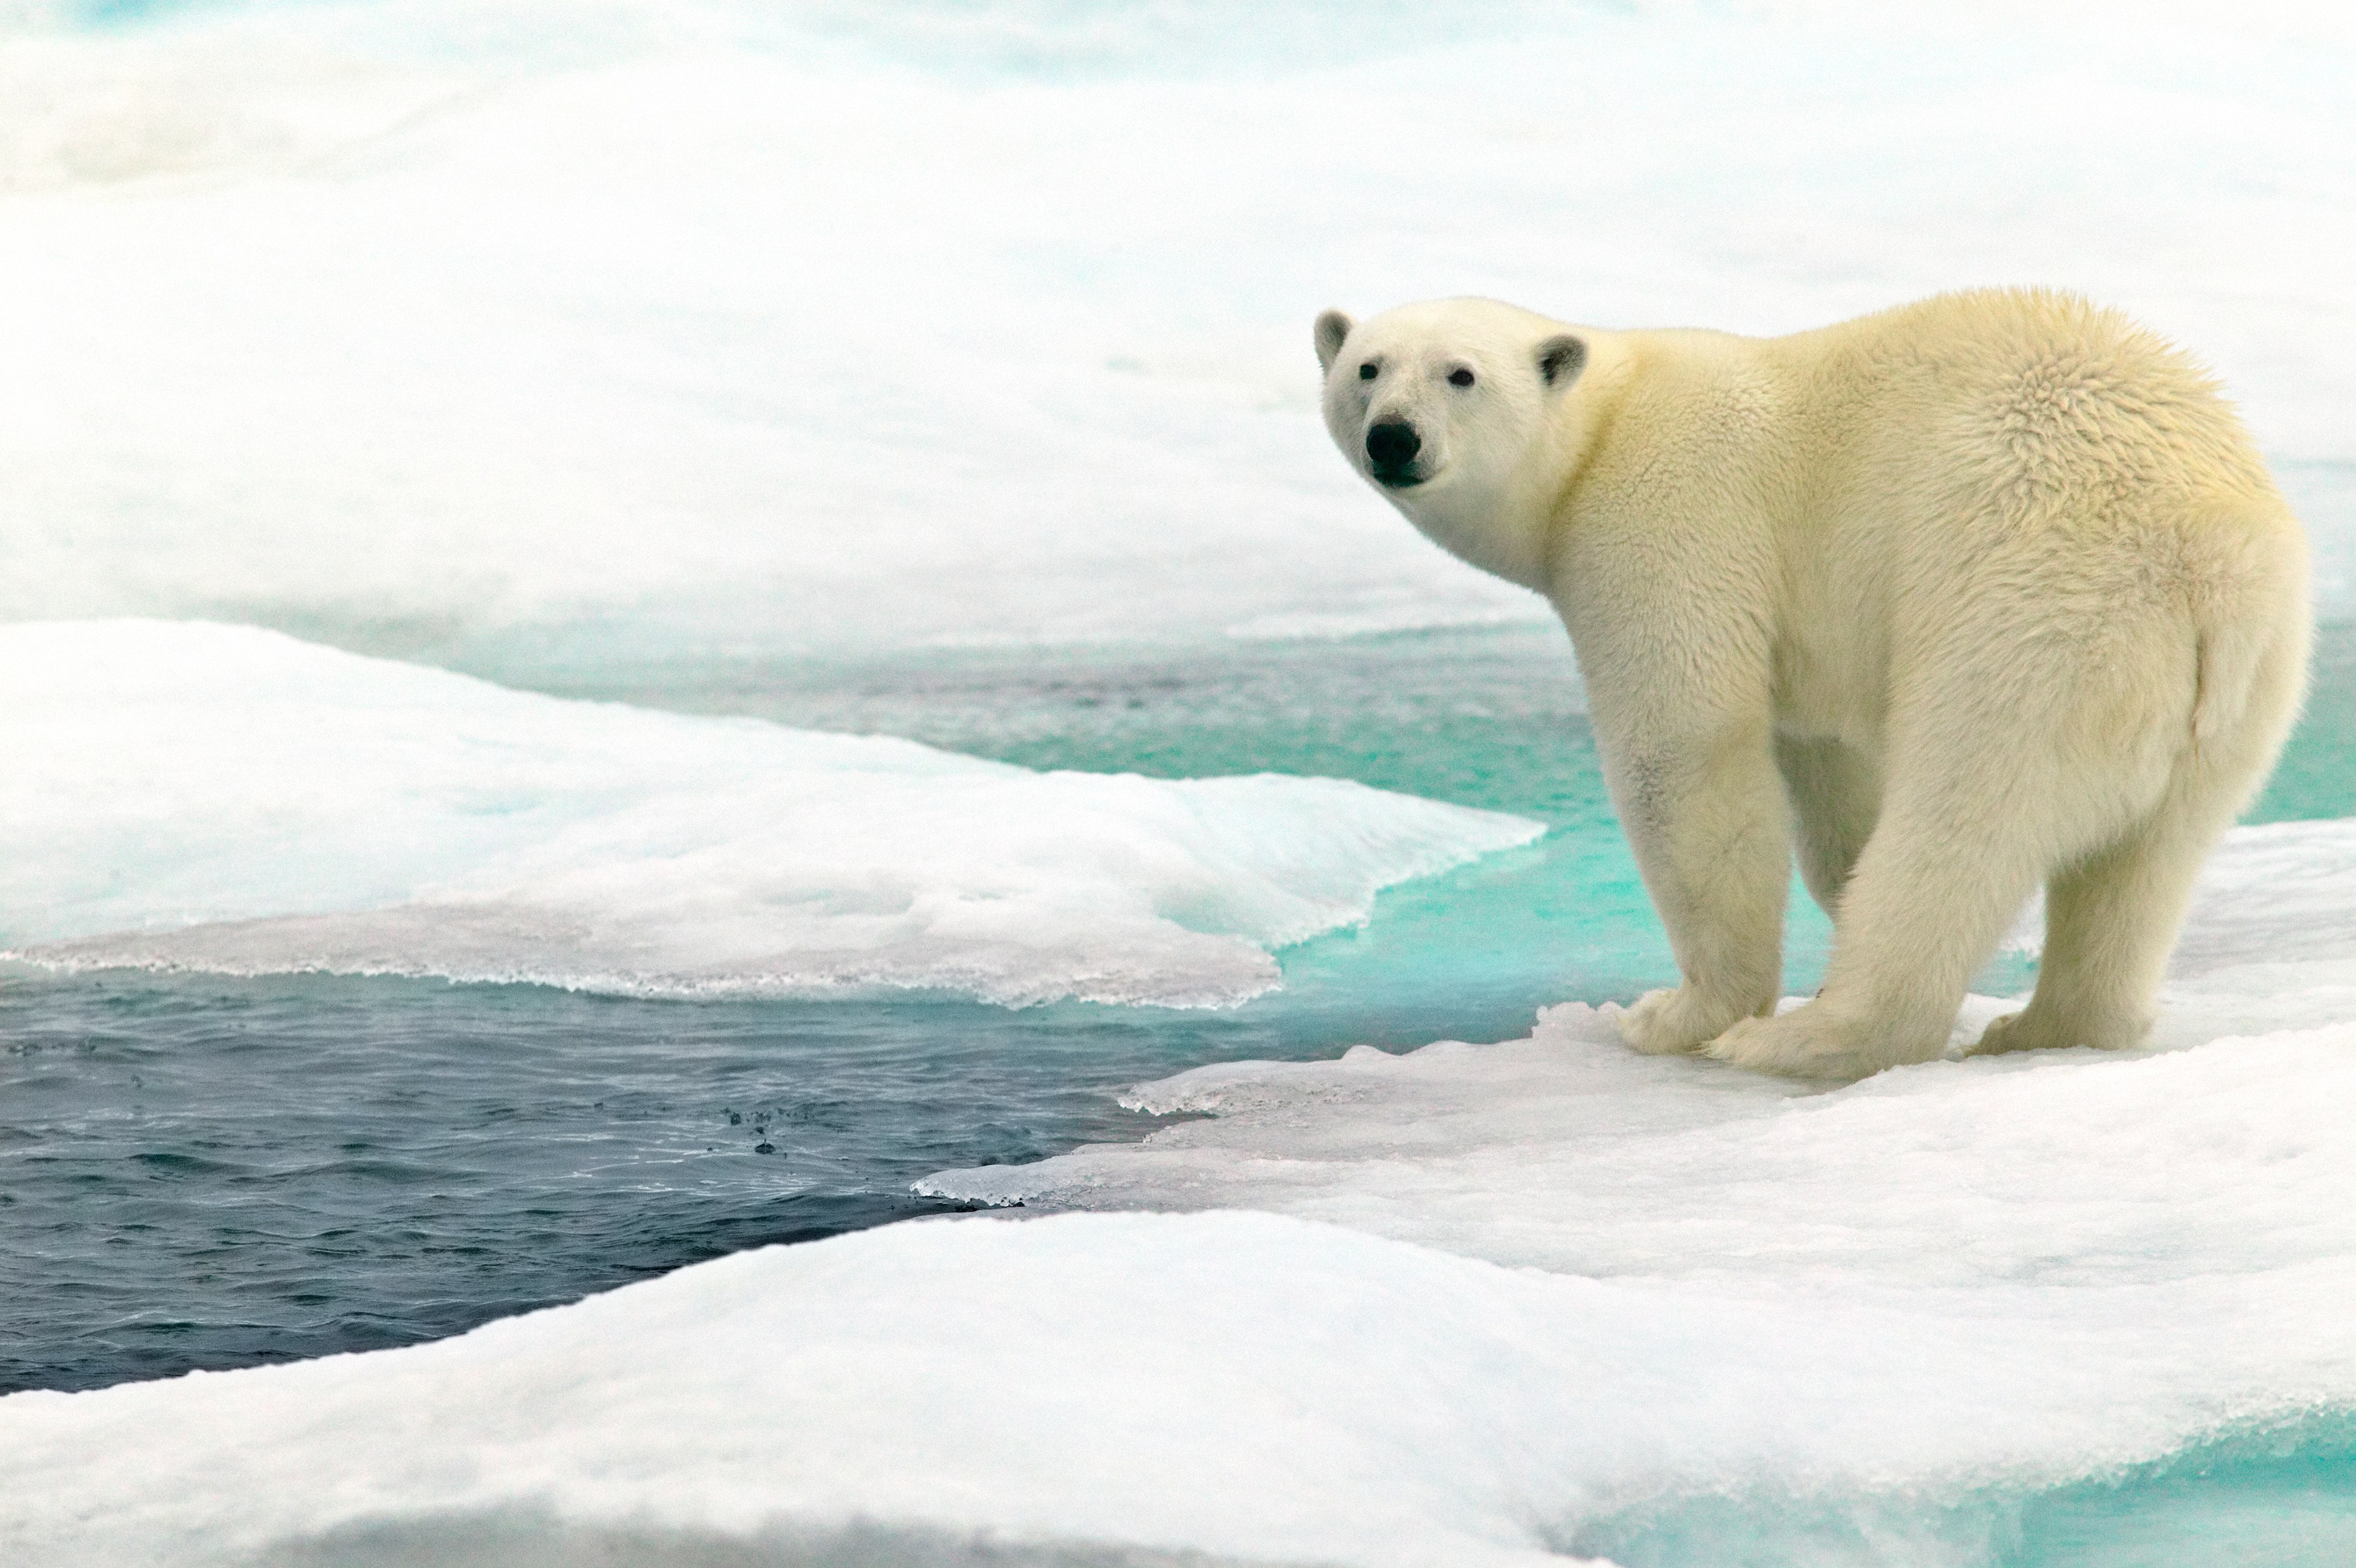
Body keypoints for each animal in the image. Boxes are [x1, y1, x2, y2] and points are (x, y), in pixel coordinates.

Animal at [1319, 289, 2309, 1073]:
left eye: (1461, 375)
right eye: (1367, 367)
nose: (1394, 437)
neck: (1604, 426)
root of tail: (2207, 560)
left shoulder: (1669, 521)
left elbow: (1684, 751)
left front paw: (1678, 1013)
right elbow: (1827, 774)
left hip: (2037, 613)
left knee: (1960, 818)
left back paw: (1808, 1037)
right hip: (2249, 685)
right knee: (2147, 860)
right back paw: (2044, 1025)